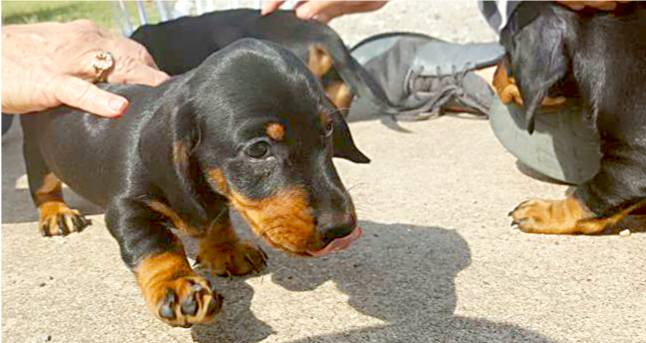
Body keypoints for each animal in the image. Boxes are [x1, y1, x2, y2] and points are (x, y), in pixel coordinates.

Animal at [20, 39, 368, 326]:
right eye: (258, 149)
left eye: (327, 129)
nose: (342, 229)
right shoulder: (127, 209)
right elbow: (155, 244)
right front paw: (174, 284)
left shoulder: (213, 197)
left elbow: (217, 220)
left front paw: (225, 250)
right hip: (37, 159)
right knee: (44, 189)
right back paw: (56, 213)